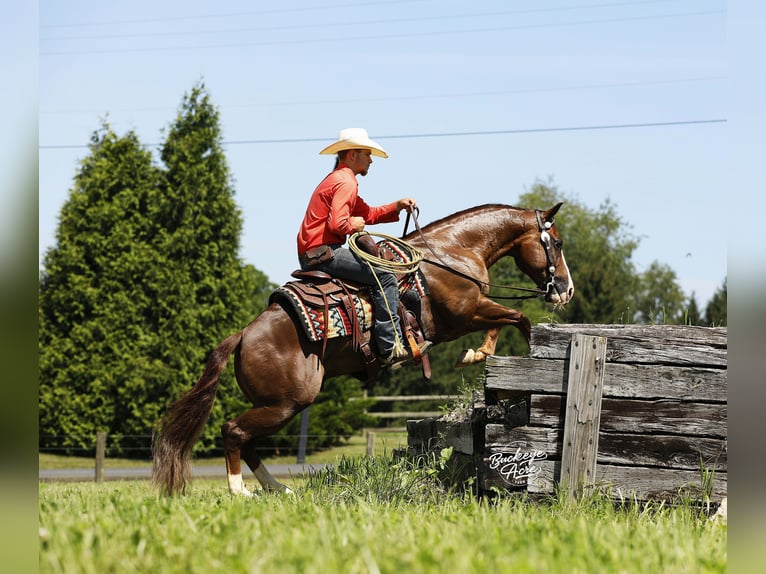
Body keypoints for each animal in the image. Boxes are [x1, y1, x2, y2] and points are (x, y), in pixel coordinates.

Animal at [151, 203, 574, 496]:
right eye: (556, 242)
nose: (566, 290)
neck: (451, 253)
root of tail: (242, 335)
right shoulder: (463, 315)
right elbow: (518, 317)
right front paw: (495, 356)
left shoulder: (471, 314)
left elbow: (507, 320)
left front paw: (481, 354)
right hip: (288, 402)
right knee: (234, 431)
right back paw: (240, 491)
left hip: (277, 404)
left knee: (248, 440)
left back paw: (277, 488)